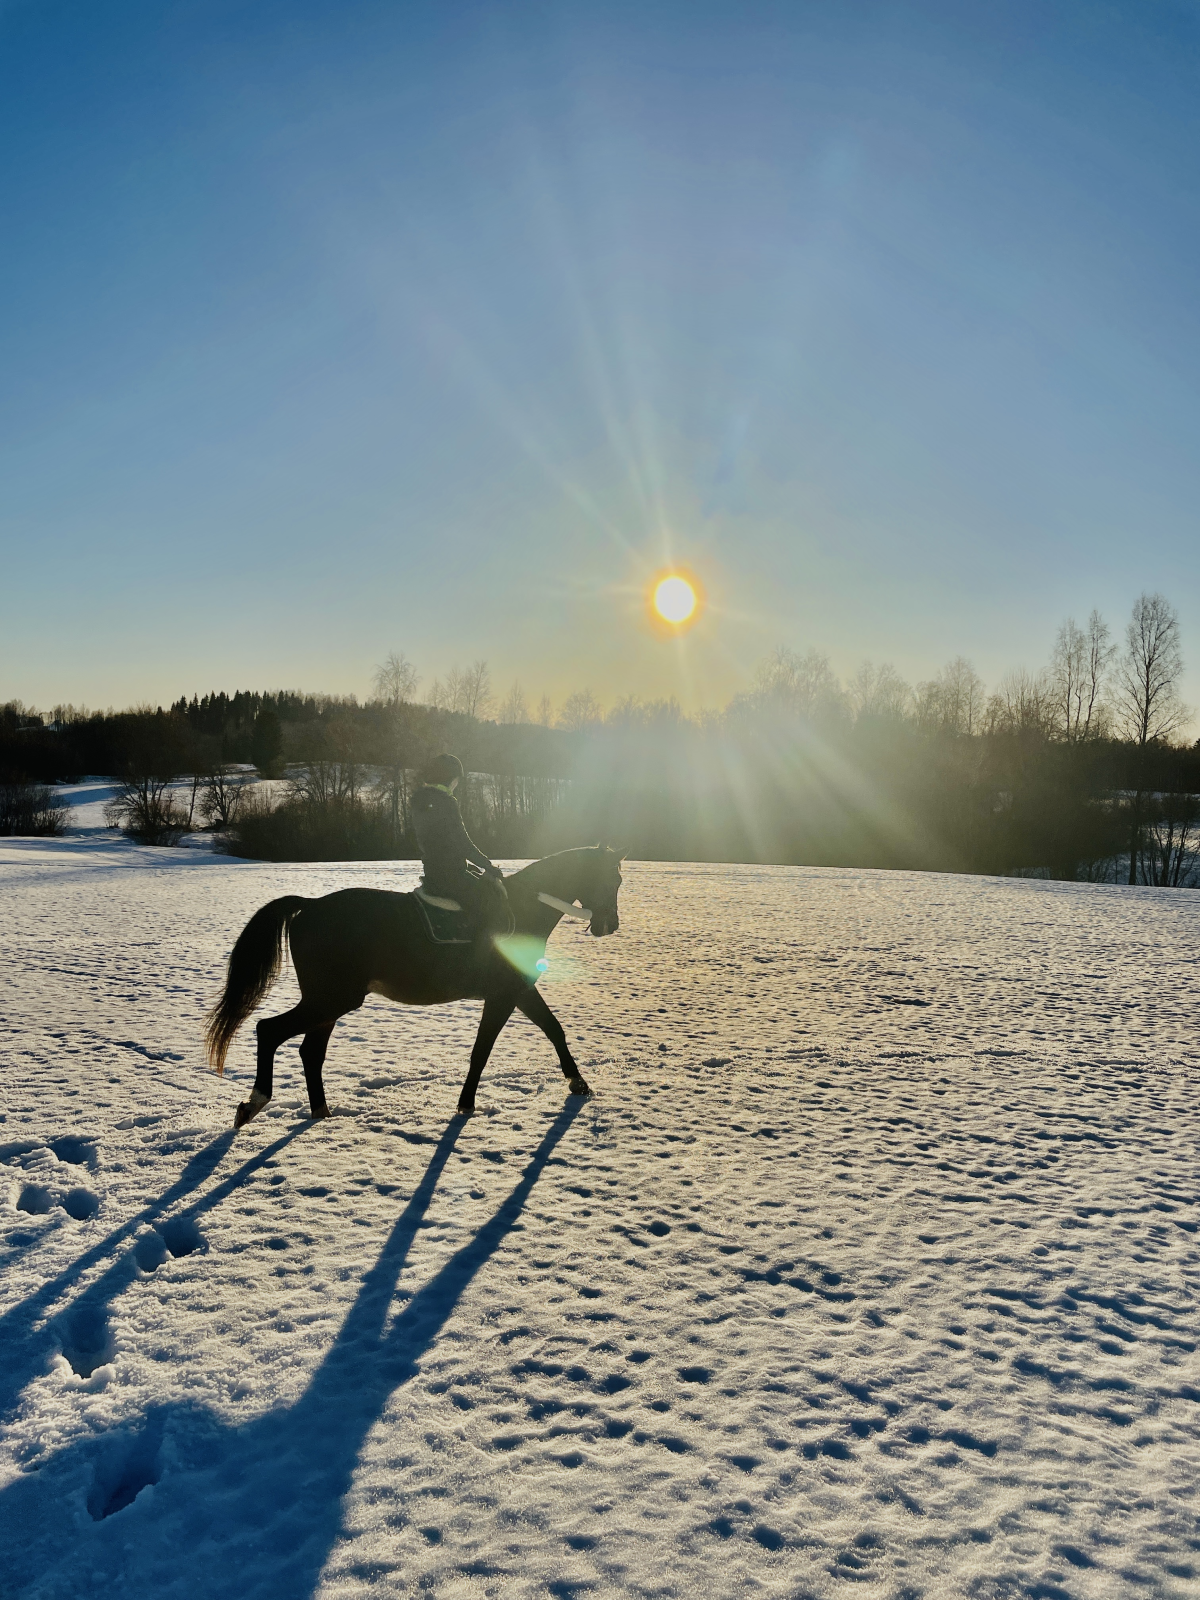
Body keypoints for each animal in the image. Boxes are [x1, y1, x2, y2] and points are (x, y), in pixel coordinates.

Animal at [203, 851, 624, 1126]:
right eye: (610, 878)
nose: (610, 925)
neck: (523, 908)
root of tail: (311, 905)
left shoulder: (519, 992)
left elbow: (554, 1029)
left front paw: (578, 1083)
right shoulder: (503, 996)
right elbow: (481, 1052)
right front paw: (466, 1104)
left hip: (328, 1002)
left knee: (309, 1052)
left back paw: (321, 1113)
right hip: (332, 999)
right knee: (269, 1030)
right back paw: (255, 1103)